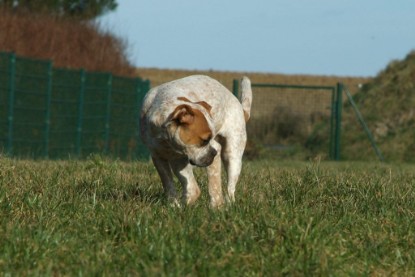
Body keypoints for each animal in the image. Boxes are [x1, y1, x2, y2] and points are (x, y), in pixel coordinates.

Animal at [140, 74, 252, 206]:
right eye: (204, 140)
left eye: (210, 138)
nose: (214, 152)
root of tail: (240, 108)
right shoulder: (161, 157)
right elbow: (170, 184)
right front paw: (174, 206)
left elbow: (213, 187)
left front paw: (216, 207)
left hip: (232, 156)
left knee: (230, 187)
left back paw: (229, 202)